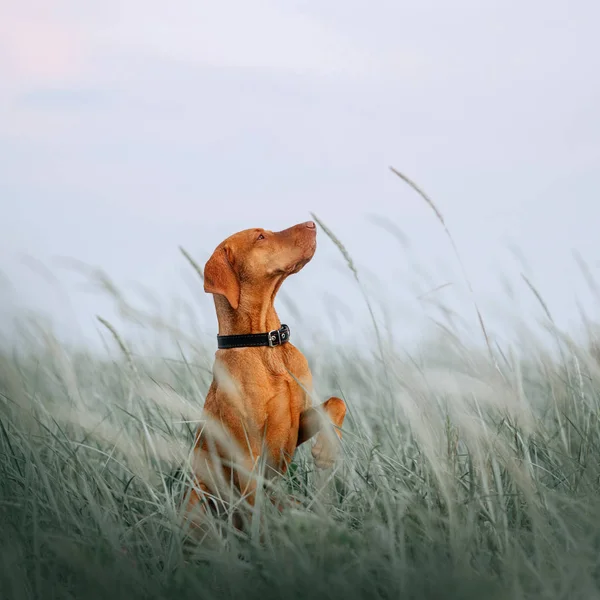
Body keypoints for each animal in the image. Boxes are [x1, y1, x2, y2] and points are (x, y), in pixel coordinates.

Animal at [185, 221, 350, 528]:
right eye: (260, 237)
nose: (312, 223)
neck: (265, 344)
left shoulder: (297, 422)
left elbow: (336, 402)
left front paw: (326, 449)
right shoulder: (246, 456)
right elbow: (256, 515)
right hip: (197, 502)